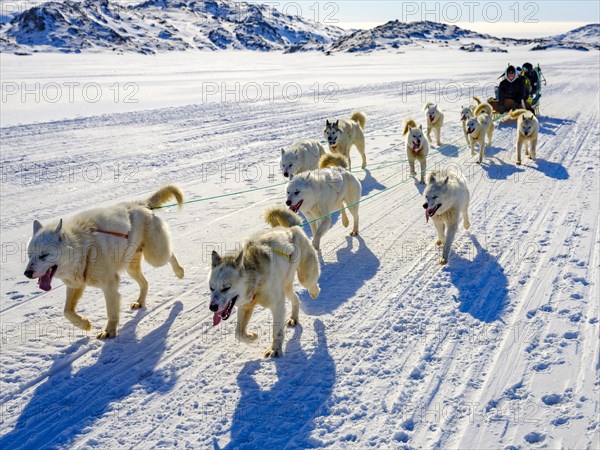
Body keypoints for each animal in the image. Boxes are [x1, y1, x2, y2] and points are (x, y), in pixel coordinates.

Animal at [24, 185, 185, 338]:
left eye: (44, 255)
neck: (82, 247)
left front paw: (109, 331)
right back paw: (140, 301)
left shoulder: (110, 285)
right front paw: (85, 324)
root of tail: (141, 205)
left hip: (156, 257)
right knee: (145, 283)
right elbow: (67, 312)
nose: (27, 273)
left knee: (170, 255)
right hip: (131, 268)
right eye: (30, 255)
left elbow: (111, 312)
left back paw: (179, 272)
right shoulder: (76, 285)